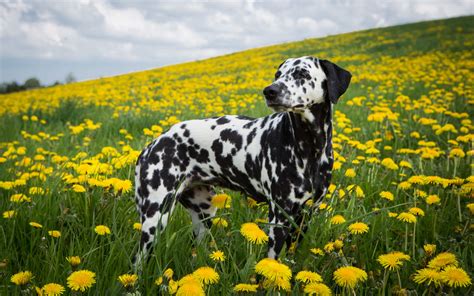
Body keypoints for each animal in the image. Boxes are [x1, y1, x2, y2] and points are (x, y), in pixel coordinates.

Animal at [135, 55, 350, 264]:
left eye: (302, 73)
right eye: (278, 74)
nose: (270, 91)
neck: (309, 147)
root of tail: (153, 144)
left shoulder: (305, 216)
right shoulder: (279, 218)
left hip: (204, 214)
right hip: (155, 220)